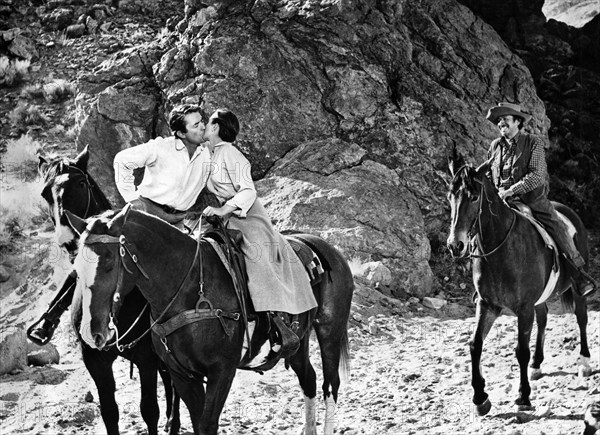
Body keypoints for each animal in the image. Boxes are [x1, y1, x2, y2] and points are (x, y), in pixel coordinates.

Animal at [32, 147, 178, 435]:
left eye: (80, 183)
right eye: (44, 193)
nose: (68, 241)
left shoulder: (145, 357)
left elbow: (149, 410)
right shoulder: (95, 360)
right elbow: (110, 412)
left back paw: (173, 421)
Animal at [68, 205, 354, 435]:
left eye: (108, 265)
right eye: (76, 270)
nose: (91, 331)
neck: (189, 287)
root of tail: (327, 249)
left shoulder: (221, 371)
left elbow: (206, 424)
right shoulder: (182, 375)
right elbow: (196, 422)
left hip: (329, 332)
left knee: (330, 385)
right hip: (298, 342)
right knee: (309, 379)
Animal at [446, 152, 592, 416]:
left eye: (474, 197)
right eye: (450, 196)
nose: (455, 245)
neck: (501, 248)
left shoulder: (523, 309)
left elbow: (521, 351)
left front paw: (523, 396)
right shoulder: (487, 305)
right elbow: (475, 345)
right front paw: (480, 398)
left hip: (577, 289)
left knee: (581, 318)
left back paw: (584, 363)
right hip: (540, 299)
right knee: (543, 318)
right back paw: (537, 365)